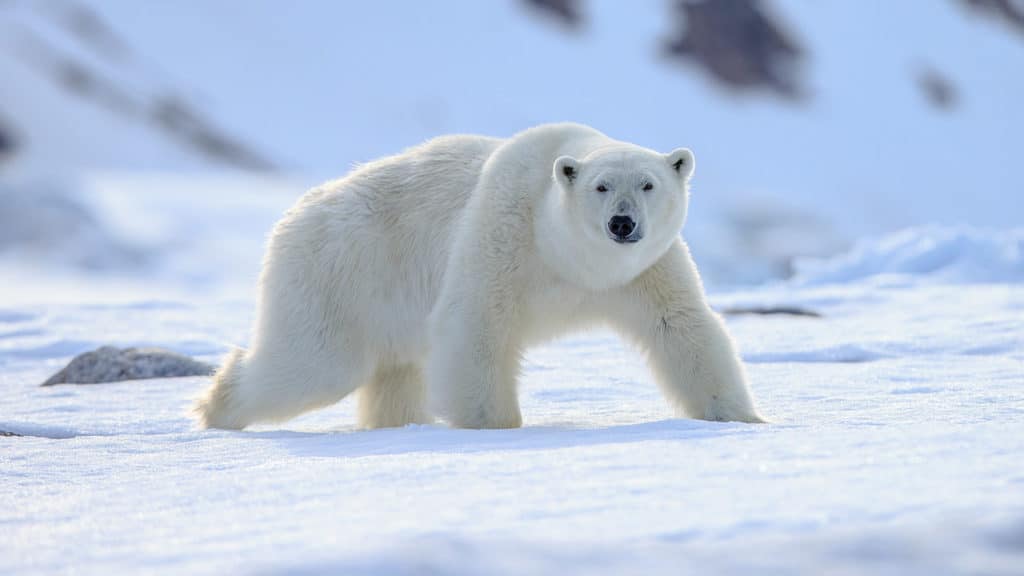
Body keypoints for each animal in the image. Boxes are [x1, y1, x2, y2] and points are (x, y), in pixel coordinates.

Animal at [195, 123, 764, 430]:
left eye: (648, 184)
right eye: (601, 187)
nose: (622, 224)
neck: (570, 258)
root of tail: (294, 214)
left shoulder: (645, 270)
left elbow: (681, 327)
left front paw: (741, 418)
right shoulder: (504, 231)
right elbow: (476, 323)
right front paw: (494, 427)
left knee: (394, 373)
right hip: (340, 273)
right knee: (313, 363)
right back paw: (215, 407)